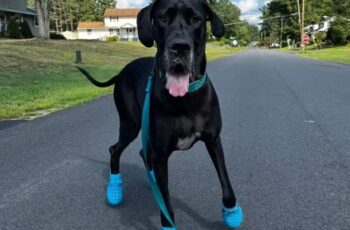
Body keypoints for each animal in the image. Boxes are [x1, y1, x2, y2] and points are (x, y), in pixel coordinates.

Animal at [78, 0, 243, 228]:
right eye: (163, 18)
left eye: (196, 19)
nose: (179, 47)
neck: (185, 98)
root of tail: (121, 72)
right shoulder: (162, 153)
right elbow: (165, 201)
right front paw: (167, 222)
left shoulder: (213, 140)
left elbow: (225, 178)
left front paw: (231, 210)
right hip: (131, 124)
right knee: (115, 149)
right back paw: (115, 189)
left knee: (143, 153)